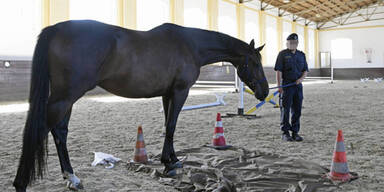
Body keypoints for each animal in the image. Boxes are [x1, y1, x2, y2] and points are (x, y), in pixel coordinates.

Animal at [13, 19, 268, 190]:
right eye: (255, 62)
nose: (264, 91)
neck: (190, 45)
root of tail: (56, 28)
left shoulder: (167, 94)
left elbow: (168, 126)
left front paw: (171, 160)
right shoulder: (180, 91)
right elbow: (172, 125)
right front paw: (170, 164)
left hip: (66, 98)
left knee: (60, 132)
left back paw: (72, 178)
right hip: (66, 96)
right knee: (41, 130)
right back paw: (21, 182)